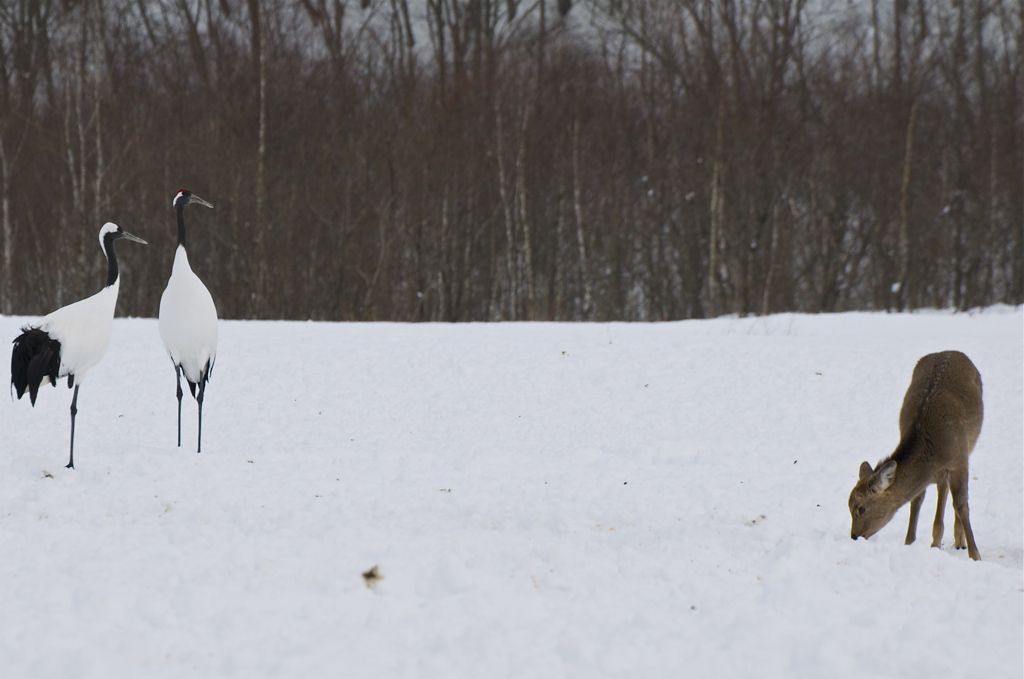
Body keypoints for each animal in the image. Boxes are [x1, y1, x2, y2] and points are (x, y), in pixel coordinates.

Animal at [847, 352, 983, 561]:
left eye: (861, 509)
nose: (854, 536)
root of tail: (951, 351)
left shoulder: (960, 460)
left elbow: (961, 504)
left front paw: (975, 555)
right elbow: (916, 500)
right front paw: (909, 542)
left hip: (969, 446)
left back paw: (959, 543)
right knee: (942, 489)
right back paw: (937, 541)